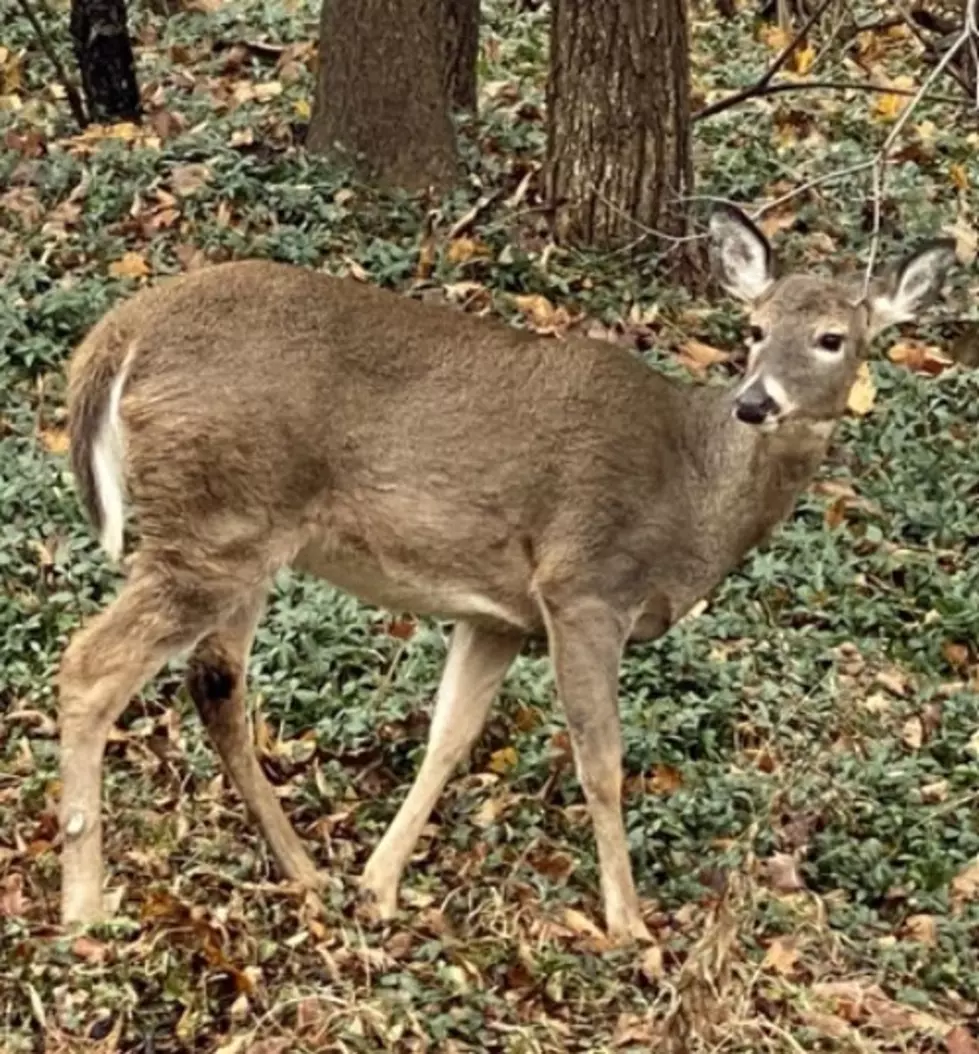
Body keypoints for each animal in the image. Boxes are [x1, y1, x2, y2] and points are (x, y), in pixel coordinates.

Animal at [57, 205, 954, 942]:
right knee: (92, 668)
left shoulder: (496, 615)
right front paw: (629, 926)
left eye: (832, 338)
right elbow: (601, 760)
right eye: (755, 328)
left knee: (214, 681)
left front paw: (378, 886)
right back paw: (85, 908)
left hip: (241, 536)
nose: (755, 402)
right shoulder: (583, 584)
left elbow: (449, 737)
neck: (691, 493)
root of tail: (120, 333)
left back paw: (305, 873)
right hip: (216, 522)